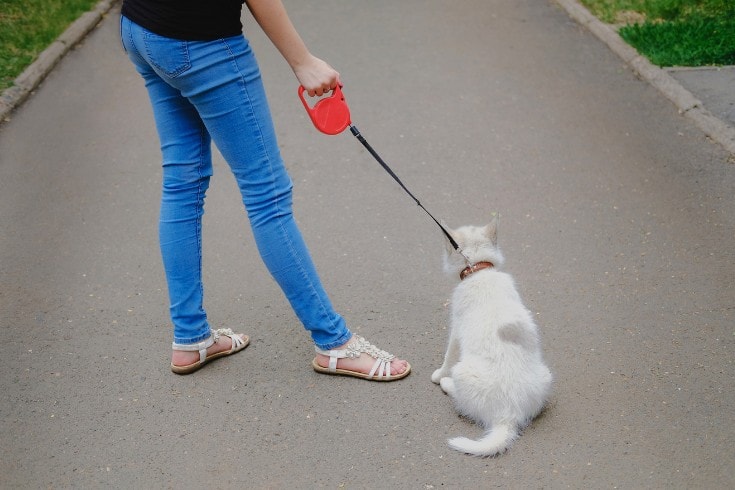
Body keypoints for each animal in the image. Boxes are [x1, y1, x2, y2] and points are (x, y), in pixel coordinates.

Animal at [432, 216, 552, 458]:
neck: (478, 271)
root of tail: (509, 415)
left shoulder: (456, 328)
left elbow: (449, 355)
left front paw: (440, 374)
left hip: (462, 372)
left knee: (463, 401)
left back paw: (448, 384)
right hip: (546, 375)